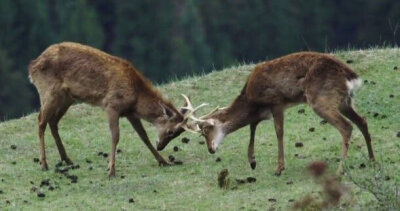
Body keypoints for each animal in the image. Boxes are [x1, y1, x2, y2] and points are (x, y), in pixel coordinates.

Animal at [28, 42, 203, 177]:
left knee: (53, 121)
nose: (161, 146)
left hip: (67, 98)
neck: (136, 96)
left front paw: (163, 161)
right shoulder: (112, 105)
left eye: (178, 134)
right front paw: (111, 170)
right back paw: (44, 164)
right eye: (171, 131)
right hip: (49, 91)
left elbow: (144, 136)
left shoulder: (130, 113)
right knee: (41, 120)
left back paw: (67, 159)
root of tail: (32, 67)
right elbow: (115, 136)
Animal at [158, 52, 376, 176]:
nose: (211, 149)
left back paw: (340, 170)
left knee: (346, 127)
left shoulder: (276, 102)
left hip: (321, 99)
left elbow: (278, 132)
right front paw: (252, 161)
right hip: (345, 101)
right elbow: (252, 127)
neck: (251, 98)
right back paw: (372, 160)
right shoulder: (261, 111)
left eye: (205, 129)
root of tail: (351, 76)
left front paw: (279, 168)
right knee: (363, 121)